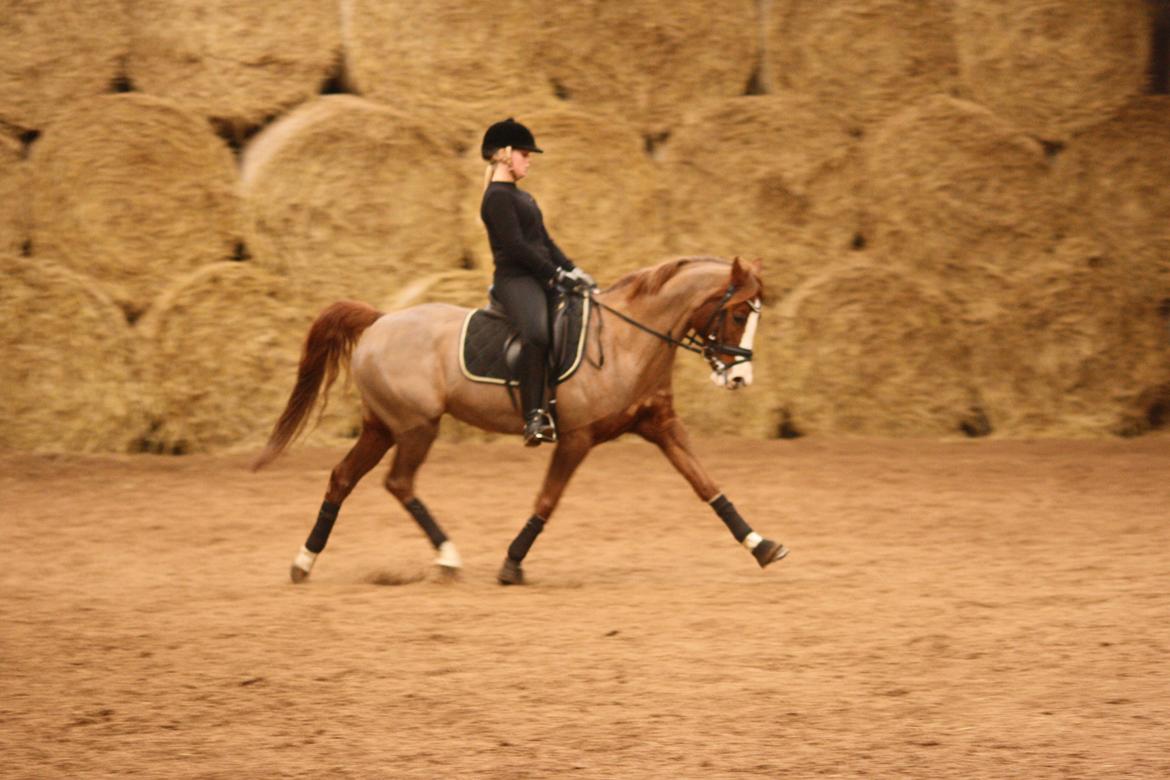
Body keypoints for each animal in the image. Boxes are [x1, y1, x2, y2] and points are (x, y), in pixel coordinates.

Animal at [253, 255, 789, 585]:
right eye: (738, 314)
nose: (740, 377)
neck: (626, 341)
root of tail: (381, 320)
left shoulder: (660, 426)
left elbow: (707, 485)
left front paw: (762, 545)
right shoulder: (575, 438)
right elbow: (547, 500)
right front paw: (511, 563)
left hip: (382, 427)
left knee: (343, 478)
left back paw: (304, 562)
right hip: (415, 427)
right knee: (399, 483)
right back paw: (447, 556)